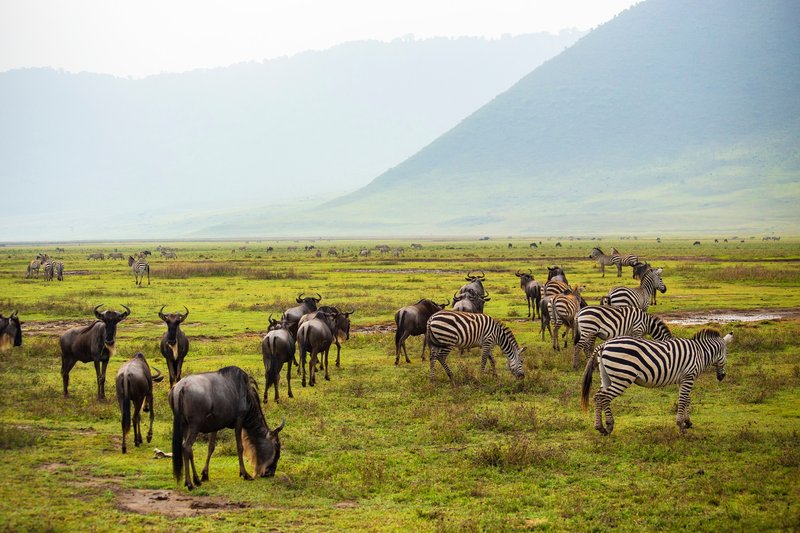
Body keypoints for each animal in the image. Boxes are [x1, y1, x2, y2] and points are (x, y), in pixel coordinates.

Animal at [580, 328, 732, 436]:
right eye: (726, 354)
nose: (722, 376)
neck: (700, 352)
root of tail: (604, 344)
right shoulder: (689, 376)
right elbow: (683, 400)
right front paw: (681, 427)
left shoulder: (682, 379)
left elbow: (687, 400)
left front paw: (688, 422)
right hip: (623, 377)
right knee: (603, 397)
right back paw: (605, 426)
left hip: (607, 376)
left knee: (598, 396)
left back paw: (604, 427)